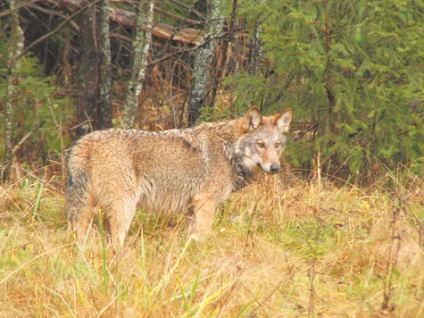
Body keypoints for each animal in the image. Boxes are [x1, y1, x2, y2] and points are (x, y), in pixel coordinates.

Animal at [66, 107, 292, 246]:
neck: (228, 151)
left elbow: (190, 241)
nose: (275, 167)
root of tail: (86, 140)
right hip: (125, 208)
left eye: (277, 145)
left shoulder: (191, 210)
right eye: (260, 144)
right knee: (115, 243)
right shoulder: (205, 203)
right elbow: (205, 237)